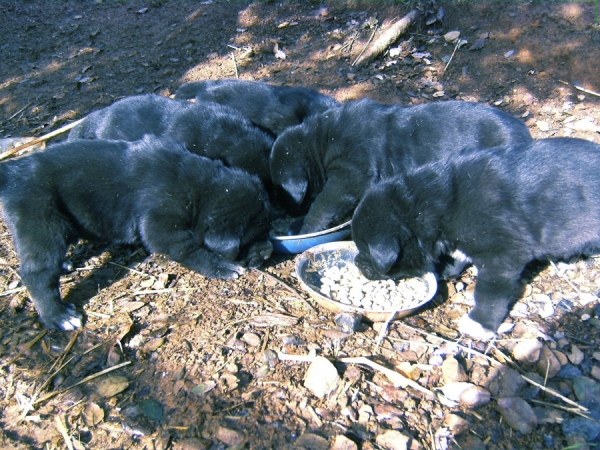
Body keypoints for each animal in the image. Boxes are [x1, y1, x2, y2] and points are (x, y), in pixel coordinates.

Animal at [0, 135, 272, 328]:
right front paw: (223, 267)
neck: (201, 189)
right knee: (36, 272)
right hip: (42, 221)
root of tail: (13, 171)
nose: (268, 252)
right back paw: (58, 316)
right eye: (252, 238)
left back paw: (64, 266)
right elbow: (189, 249)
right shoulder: (162, 223)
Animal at [270, 97, 532, 234]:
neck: (320, 140)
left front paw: (306, 227)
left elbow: (323, 204)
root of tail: (526, 134)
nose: (284, 212)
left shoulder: (350, 173)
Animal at [354, 139, 600, 340]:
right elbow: (457, 256)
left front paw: (480, 323)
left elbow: (489, 293)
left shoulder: (502, 255)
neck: (436, 206)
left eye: (365, 250)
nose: (356, 263)